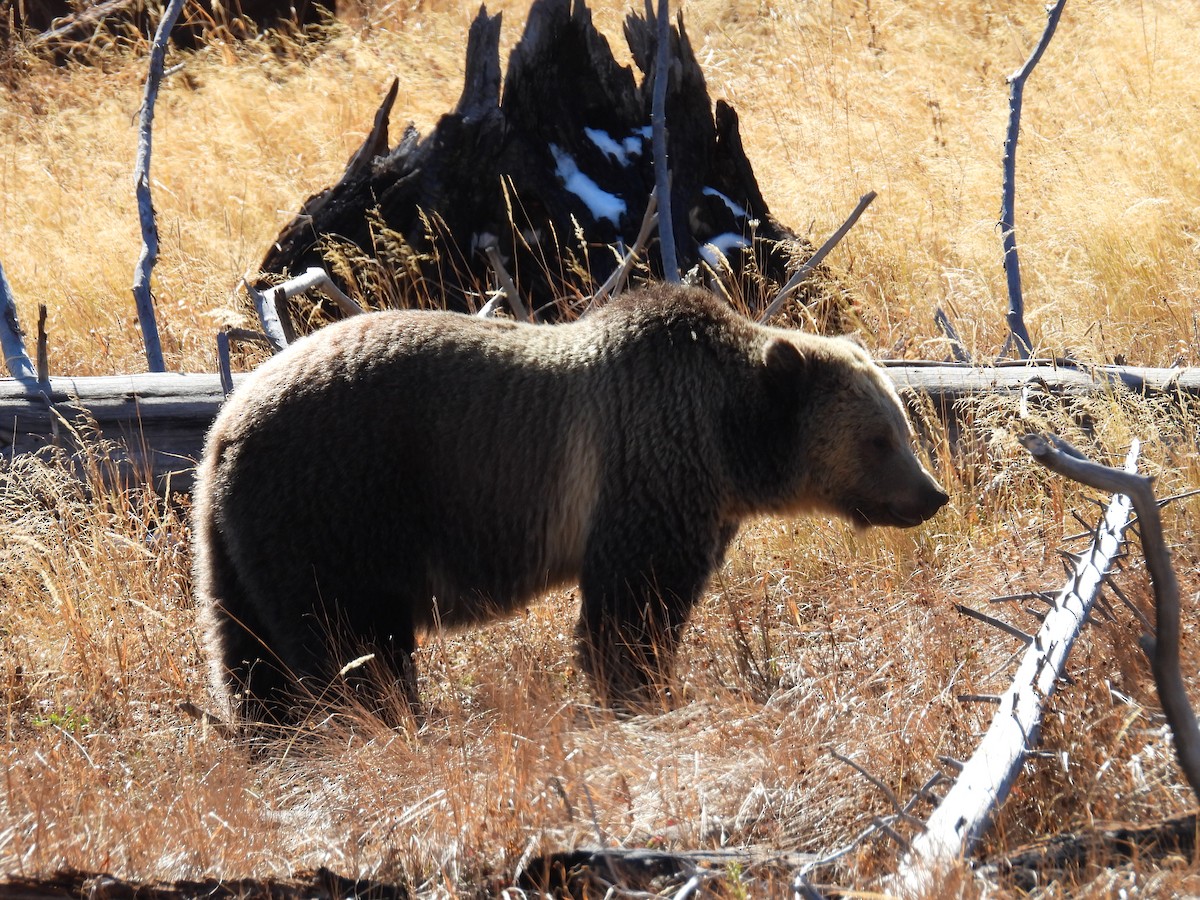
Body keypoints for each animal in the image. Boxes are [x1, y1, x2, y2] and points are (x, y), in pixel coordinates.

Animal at [193, 283, 948, 726]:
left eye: (903, 426)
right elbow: (632, 607)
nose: (931, 494)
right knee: (350, 646)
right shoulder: (641, 473)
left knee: (252, 658)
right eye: (879, 438)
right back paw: (384, 720)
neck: (727, 441)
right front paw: (642, 689)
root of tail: (224, 427)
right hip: (336, 511)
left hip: (240, 546)